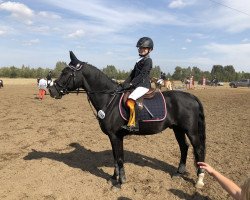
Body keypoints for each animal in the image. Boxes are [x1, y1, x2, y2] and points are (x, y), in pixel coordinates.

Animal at [47, 52, 206, 189]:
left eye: (66, 73)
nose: (52, 90)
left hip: (191, 131)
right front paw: (113, 177)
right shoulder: (112, 137)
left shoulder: (116, 136)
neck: (109, 99)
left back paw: (199, 180)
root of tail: (191, 97)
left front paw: (120, 182)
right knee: (184, 147)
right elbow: (115, 157)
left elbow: (119, 159)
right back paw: (178, 172)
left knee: (198, 149)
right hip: (177, 129)